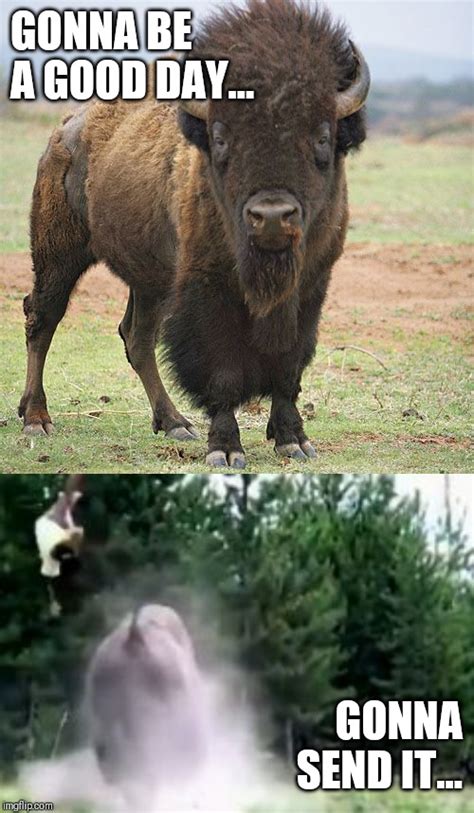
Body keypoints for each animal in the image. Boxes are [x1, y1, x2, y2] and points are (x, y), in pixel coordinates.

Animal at [19, 0, 370, 467]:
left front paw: (293, 440)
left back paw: (174, 423)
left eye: (322, 137)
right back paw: (36, 418)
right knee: (43, 318)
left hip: (150, 280)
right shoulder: (207, 291)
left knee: (137, 337)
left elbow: (289, 363)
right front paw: (226, 449)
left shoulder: (310, 287)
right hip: (58, 253)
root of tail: (66, 129)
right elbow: (220, 371)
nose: (272, 216)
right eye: (221, 138)